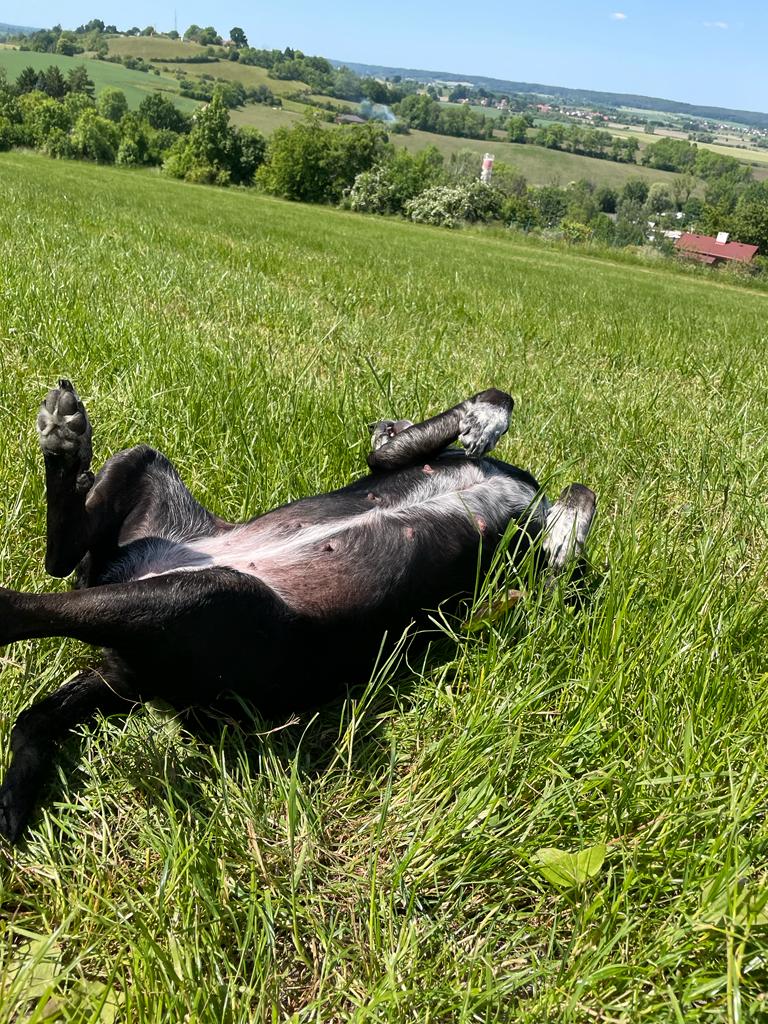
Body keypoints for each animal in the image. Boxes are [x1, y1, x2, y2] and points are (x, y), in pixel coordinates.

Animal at [0, 382, 595, 843]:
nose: (378, 421)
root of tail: (132, 678)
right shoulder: (390, 460)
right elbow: (507, 429)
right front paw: (489, 417)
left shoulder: (546, 590)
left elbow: (576, 502)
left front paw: (561, 526)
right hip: (172, 549)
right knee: (54, 573)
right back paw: (66, 443)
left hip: (198, 593)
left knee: (47, 600)